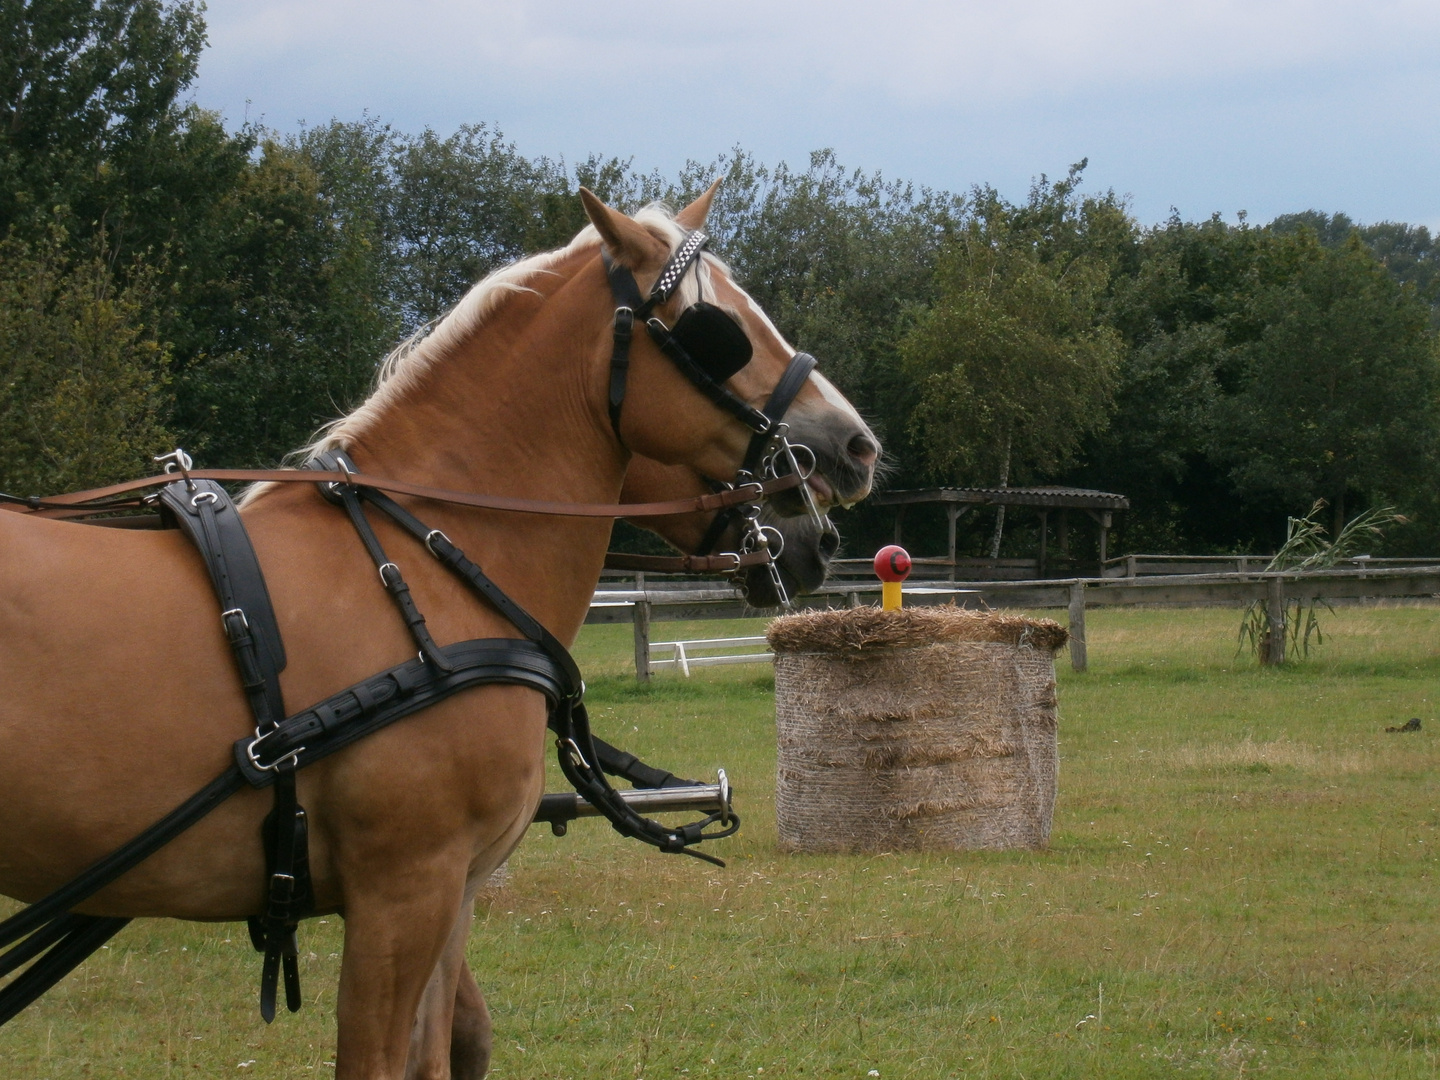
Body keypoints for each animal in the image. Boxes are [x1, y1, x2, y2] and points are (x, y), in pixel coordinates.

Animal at [0, 185, 875, 1080]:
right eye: (718, 330)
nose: (855, 447)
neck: (431, 564)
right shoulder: (403, 890)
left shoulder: (455, 892)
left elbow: (446, 1050)